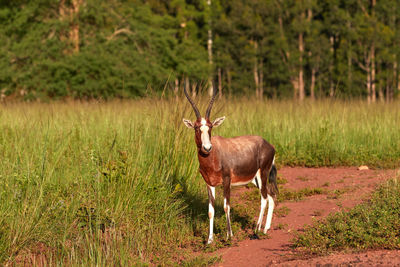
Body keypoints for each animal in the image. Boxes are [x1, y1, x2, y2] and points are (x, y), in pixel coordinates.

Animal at [182, 88, 278, 245]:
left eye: (210, 127)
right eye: (196, 127)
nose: (207, 148)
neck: (214, 154)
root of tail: (268, 145)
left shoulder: (226, 181)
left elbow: (226, 206)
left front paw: (229, 236)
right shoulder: (209, 184)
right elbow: (211, 210)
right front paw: (209, 240)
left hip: (262, 174)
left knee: (264, 198)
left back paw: (256, 230)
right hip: (255, 180)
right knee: (271, 195)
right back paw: (265, 229)